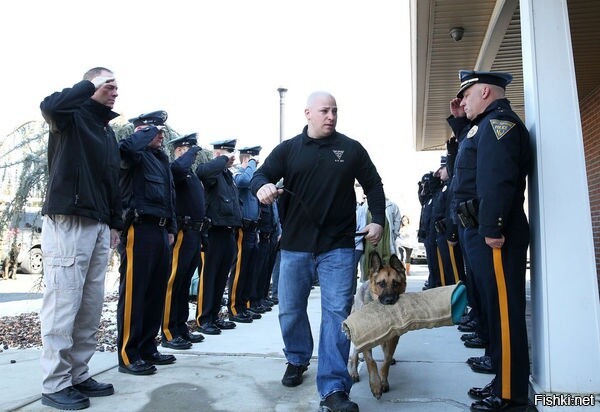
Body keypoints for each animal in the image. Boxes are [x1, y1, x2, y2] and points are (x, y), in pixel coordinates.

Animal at [346, 251, 408, 400]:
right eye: (381, 284)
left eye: (396, 283)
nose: (389, 300)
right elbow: (371, 362)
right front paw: (375, 385)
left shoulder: (393, 339)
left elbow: (386, 360)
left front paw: (383, 382)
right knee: (354, 354)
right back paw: (353, 372)